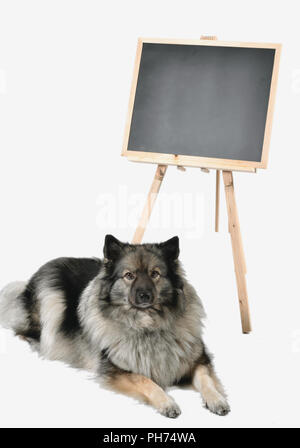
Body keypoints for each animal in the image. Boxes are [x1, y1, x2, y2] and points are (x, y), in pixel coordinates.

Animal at [0, 236, 230, 418]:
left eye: (155, 274)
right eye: (129, 275)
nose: (144, 295)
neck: (148, 326)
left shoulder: (198, 360)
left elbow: (206, 380)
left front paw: (216, 399)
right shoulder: (117, 370)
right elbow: (146, 381)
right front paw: (167, 402)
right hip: (51, 301)